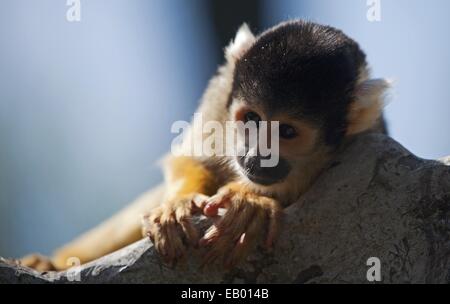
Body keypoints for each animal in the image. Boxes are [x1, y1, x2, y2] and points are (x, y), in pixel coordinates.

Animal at [21, 20, 388, 270]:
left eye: (286, 131)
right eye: (252, 118)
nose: (256, 158)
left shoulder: (364, 141)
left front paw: (250, 203)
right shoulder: (222, 87)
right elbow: (190, 160)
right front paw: (177, 206)